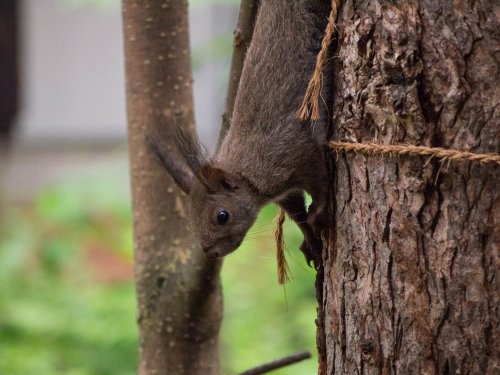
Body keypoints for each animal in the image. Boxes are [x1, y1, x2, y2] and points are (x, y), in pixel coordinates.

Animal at [146, 0, 330, 266]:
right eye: (189, 217)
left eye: (222, 216)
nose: (210, 252)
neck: (246, 173)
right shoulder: (285, 192)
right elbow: (296, 211)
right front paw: (310, 239)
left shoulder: (295, 151)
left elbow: (320, 180)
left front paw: (321, 211)